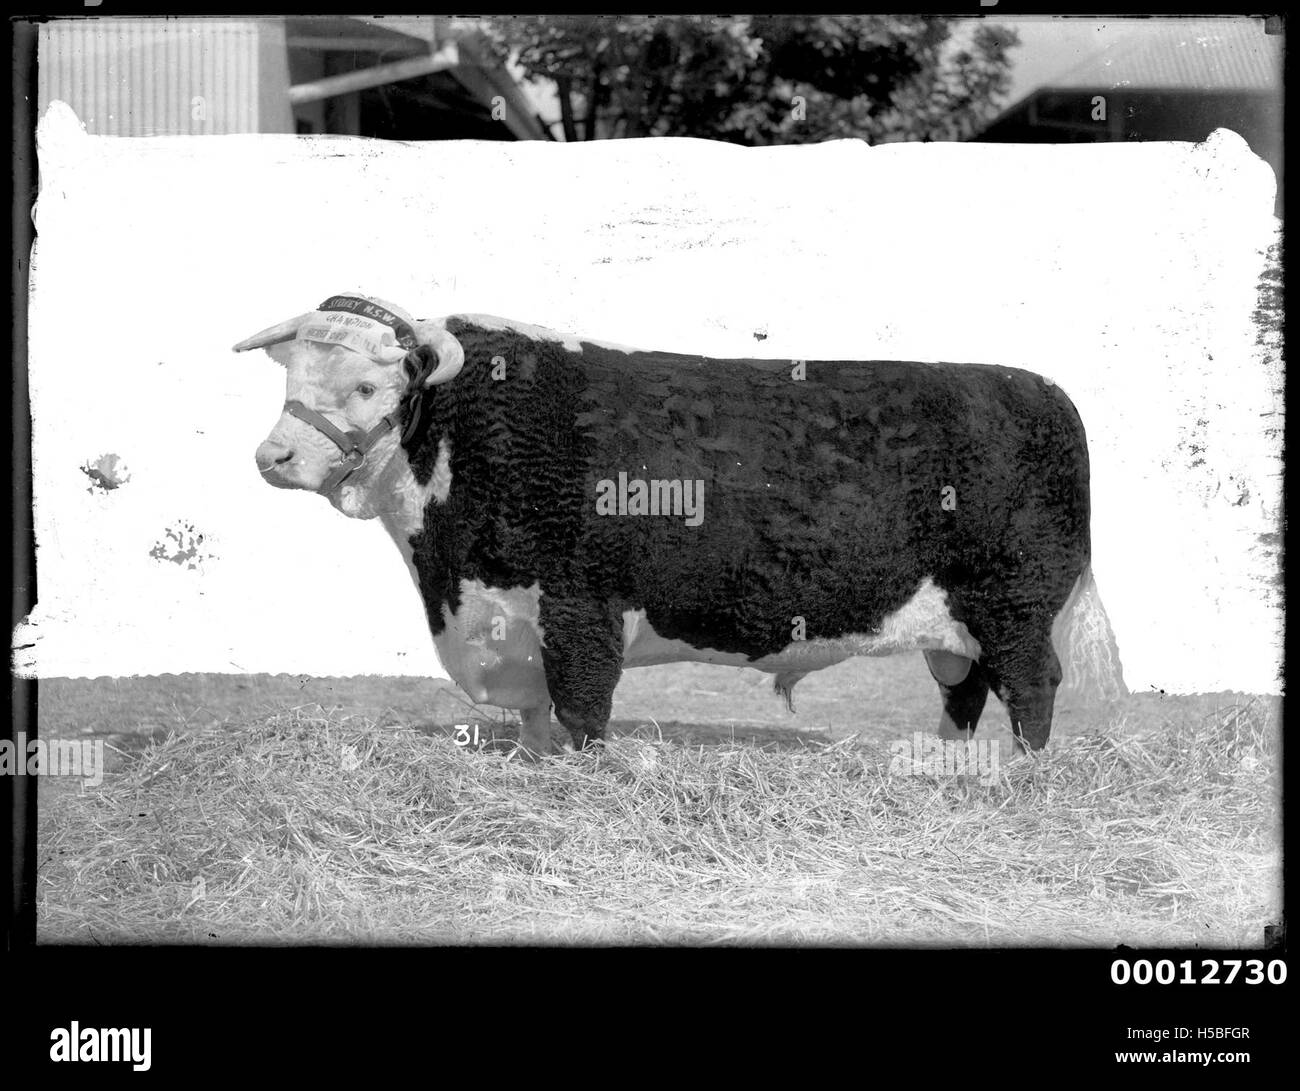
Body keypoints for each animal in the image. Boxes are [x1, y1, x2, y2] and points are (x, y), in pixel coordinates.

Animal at [235, 292, 1125, 757]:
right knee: (964, 686)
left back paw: (1020, 771)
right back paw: (945, 762)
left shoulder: (580, 610)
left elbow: (583, 709)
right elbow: (534, 716)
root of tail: (1040, 388)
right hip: (959, 616)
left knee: (1032, 685)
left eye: (364, 388)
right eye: (293, 376)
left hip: (1013, 602)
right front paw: (530, 763)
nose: (274, 455)